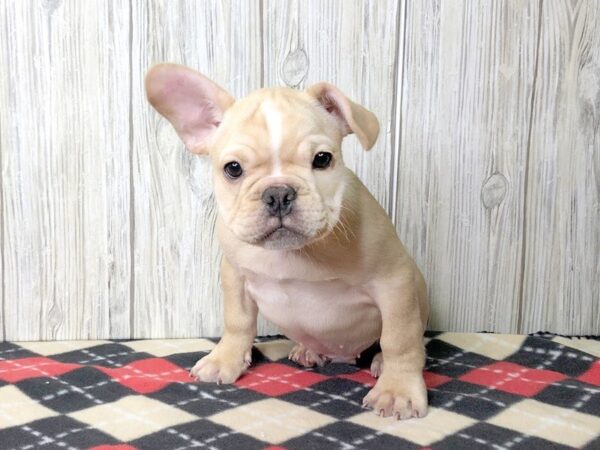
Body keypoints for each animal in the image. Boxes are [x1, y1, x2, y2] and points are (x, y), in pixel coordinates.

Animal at [145, 63, 428, 418]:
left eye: (322, 159)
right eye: (233, 168)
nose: (278, 193)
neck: (291, 252)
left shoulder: (394, 281)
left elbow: (398, 339)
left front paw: (397, 390)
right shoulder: (235, 277)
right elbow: (237, 322)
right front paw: (225, 359)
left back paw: (379, 363)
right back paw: (308, 350)